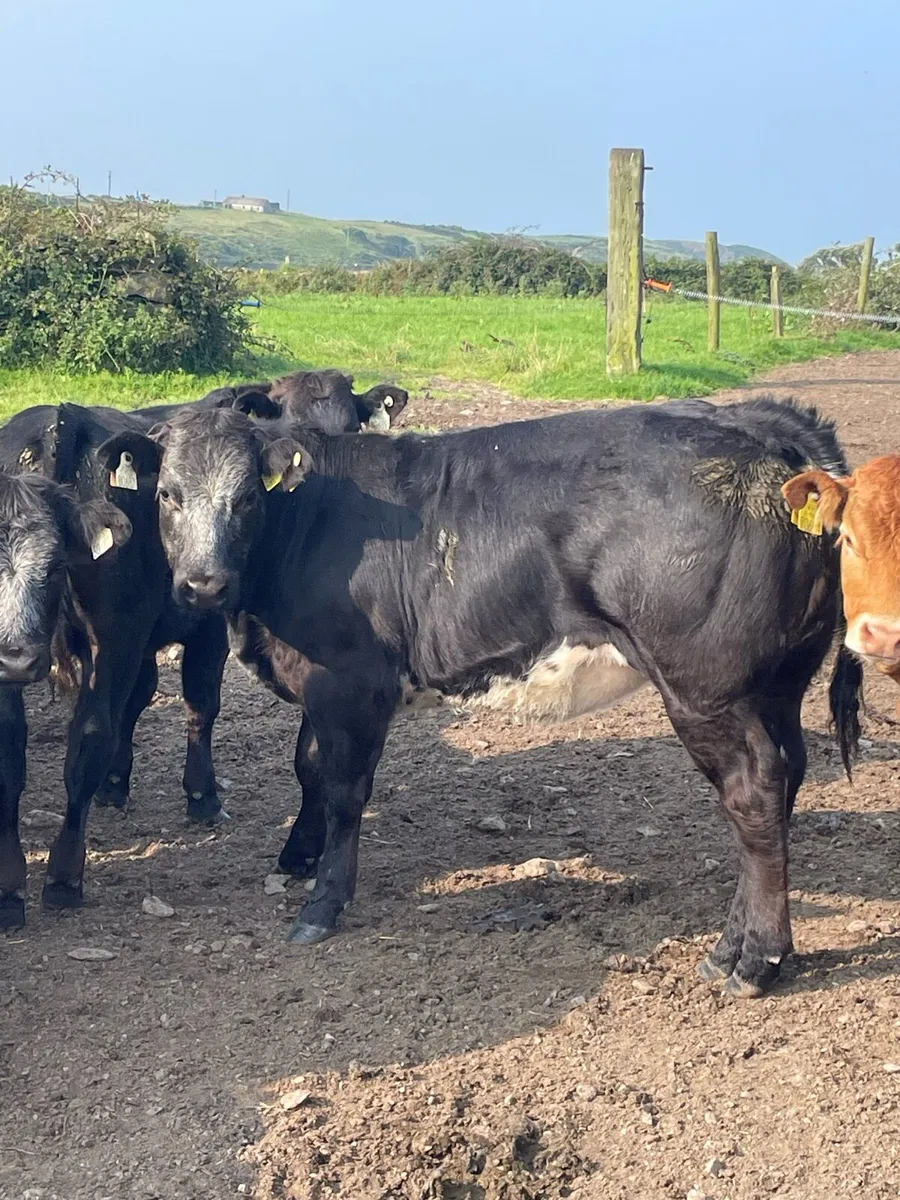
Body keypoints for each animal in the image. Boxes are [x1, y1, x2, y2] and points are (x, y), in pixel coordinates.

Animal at [0, 472, 131, 928]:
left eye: (56, 566)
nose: (16, 659)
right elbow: (9, 761)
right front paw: (8, 886)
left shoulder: (116, 639)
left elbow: (89, 746)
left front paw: (64, 877)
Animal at [103, 395, 863, 999]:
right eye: (168, 495)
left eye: (247, 497)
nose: (202, 584)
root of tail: (755, 423)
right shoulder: (322, 685)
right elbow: (309, 769)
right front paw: (298, 856)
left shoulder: (351, 682)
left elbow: (345, 790)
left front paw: (324, 901)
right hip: (776, 683)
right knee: (784, 781)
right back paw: (744, 944)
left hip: (706, 687)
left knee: (753, 792)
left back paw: (751, 959)